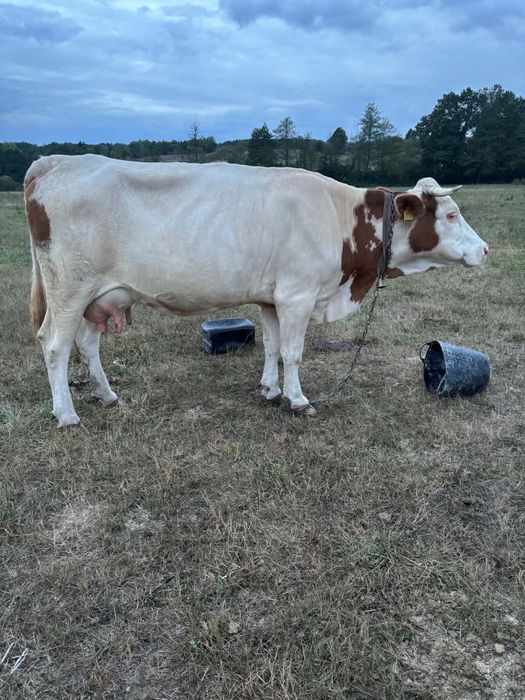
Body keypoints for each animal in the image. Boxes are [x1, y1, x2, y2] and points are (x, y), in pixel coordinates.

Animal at [24, 155, 489, 426]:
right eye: (450, 213)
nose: (485, 248)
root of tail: (54, 162)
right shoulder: (298, 295)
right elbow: (293, 351)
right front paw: (297, 398)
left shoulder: (271, 297)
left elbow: (270, 345)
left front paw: (270, 389)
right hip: (69, 288)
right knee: (54, 345)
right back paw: (67, 414)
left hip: (98, 295)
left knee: (86, 343)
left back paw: (106, 395)